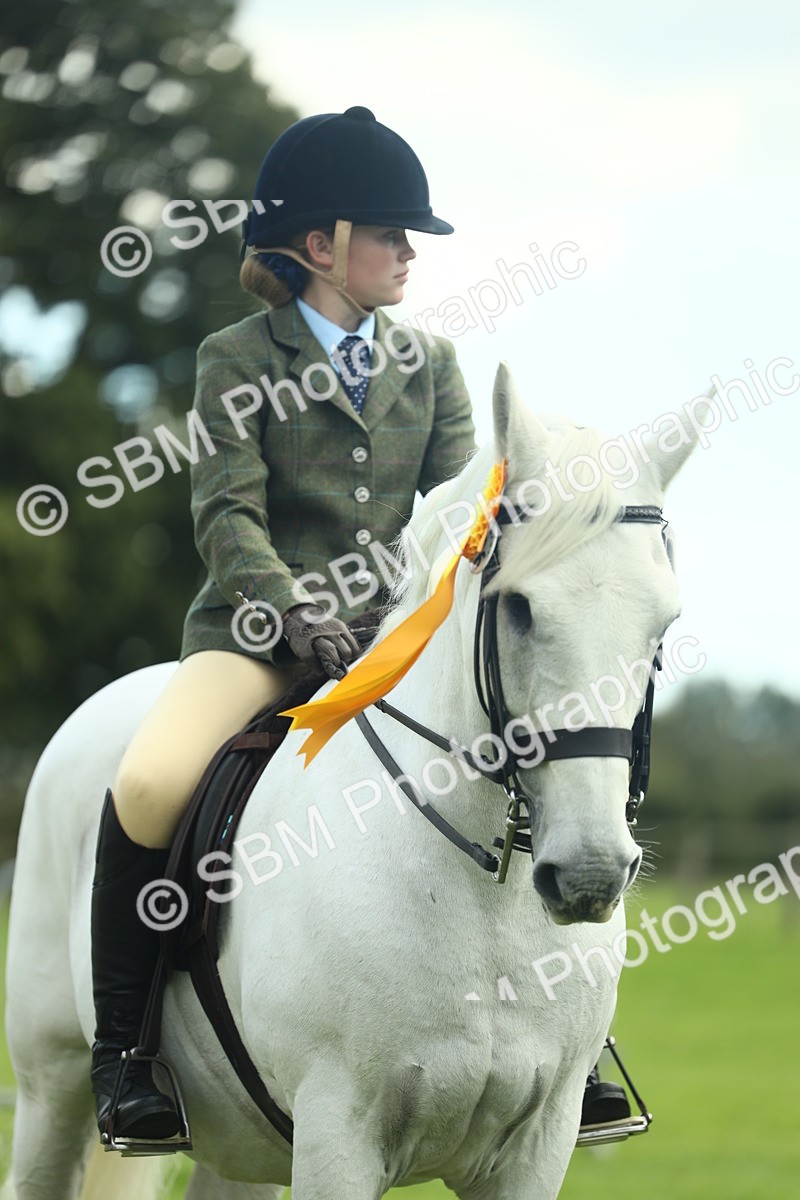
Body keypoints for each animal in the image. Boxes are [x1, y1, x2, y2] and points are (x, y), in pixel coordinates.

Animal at [3, 365, 703, 1200]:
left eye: (663, 627)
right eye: (520, 609)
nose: (593, 872)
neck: (488, 905)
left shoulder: (537, 1147)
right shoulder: (340, 1134)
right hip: (52, 1088)